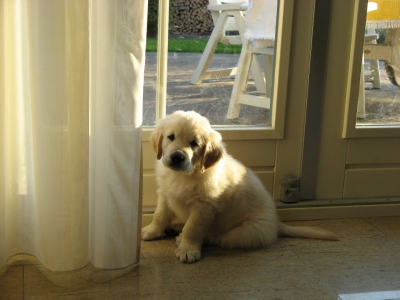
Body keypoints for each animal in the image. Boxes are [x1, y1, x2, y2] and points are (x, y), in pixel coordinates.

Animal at [141, 110, 338, 262]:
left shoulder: (203, 207)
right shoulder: (166, 195)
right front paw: (151, 231)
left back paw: (183, 235)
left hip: (247, 232)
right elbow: (159, 216)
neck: (183, 175)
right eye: (171, 137)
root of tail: (276, 224)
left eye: (194, 144)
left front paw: (188, 249)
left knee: (216, 237)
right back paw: (175, 227)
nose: (177, 157)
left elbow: (193, 228)